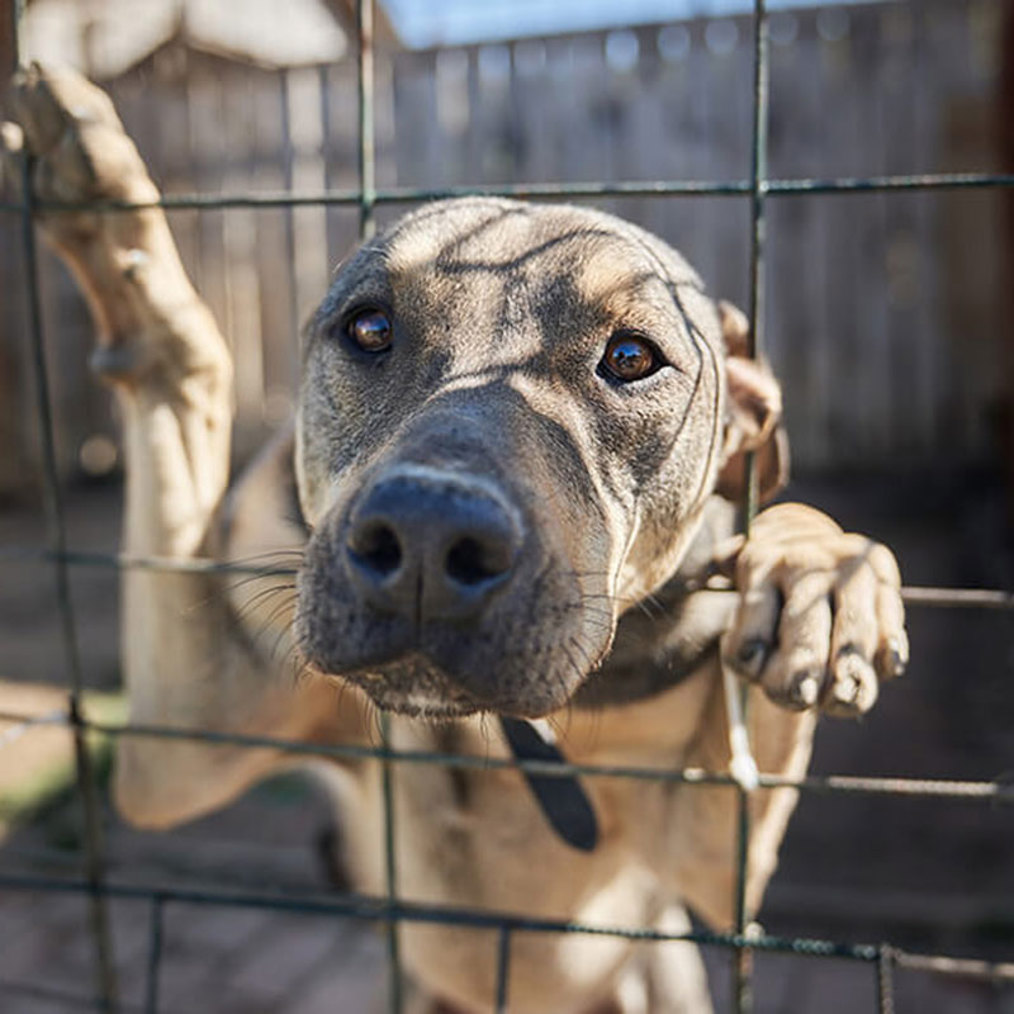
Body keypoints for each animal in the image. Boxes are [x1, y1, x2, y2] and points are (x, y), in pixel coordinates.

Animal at [0, 67, 904, 1009]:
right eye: (368, 328)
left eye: (631, 357)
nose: (427, 540)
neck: (512, 739)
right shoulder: (181, 745)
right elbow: (184, 367)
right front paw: (104, 211)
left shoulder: (718, 864)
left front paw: (822, 575)